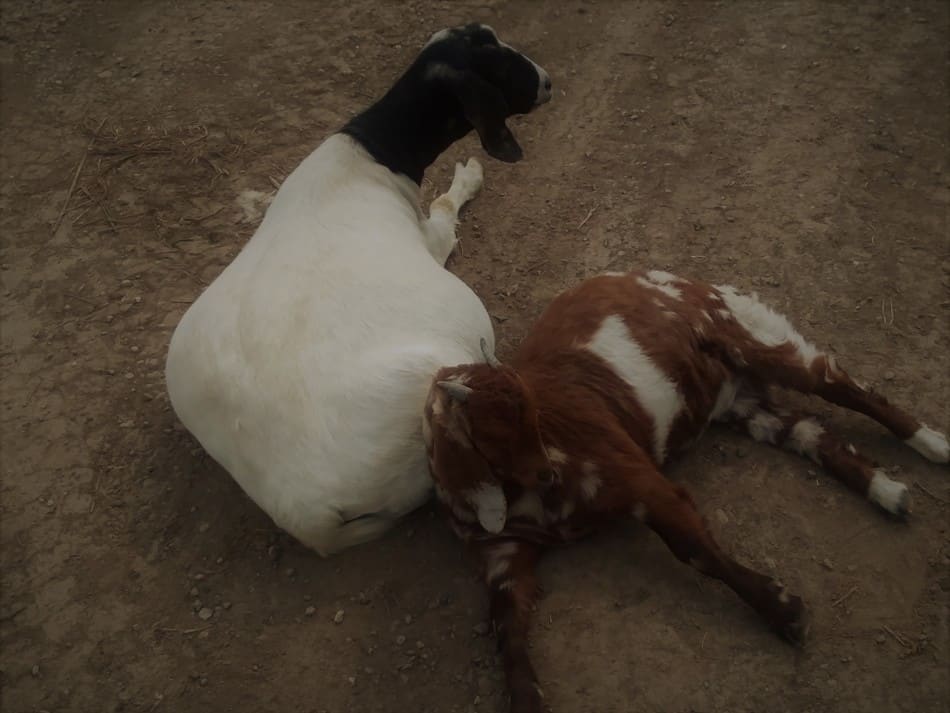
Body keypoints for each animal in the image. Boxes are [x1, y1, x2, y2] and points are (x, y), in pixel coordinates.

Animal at [164, 22, 552, 552]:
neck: (370, 155)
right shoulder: (431, 239)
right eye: (495, 61)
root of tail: (304, 513)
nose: (547, 82)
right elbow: (446, 208)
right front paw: (469, 175)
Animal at [426, 268, 950, 712]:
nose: (549, 476)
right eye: (493, 437)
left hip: (744, 337)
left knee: (838, 385)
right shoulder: (503, 554)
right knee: (810, 433)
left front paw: (785, 611)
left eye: (534, 412)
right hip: (746, 406)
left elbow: (695, 549)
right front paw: (526, 699)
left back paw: (933, 445)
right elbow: (507, 629)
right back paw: (887, 490)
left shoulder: (634, 478)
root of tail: (675, 278)